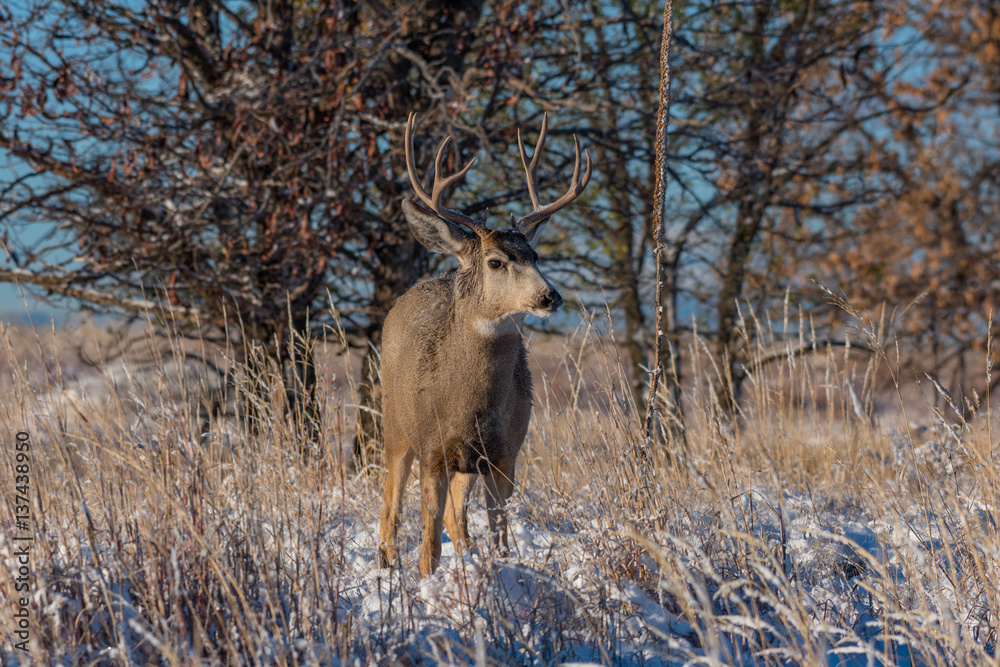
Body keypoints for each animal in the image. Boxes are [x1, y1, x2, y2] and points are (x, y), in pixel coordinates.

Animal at [377, 113, 591, 576]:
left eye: (535, 257)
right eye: (496, 262)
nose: (549, 297)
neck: (467, 404)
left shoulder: (505, 454)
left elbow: (500, 539)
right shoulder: (433, 451)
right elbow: (428, 546)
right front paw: (428, 584)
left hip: (465, 466)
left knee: (457, 520)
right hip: (395, 428)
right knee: (390, 509)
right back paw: (386, 565)